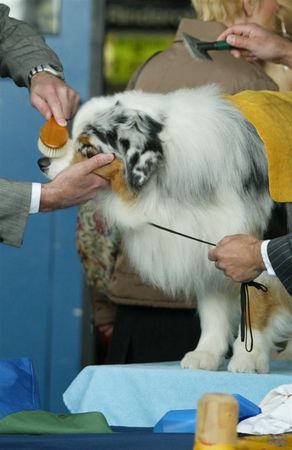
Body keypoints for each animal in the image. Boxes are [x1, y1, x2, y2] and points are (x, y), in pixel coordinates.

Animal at [38, 84, 292, 372]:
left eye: (88, 149)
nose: (42, 163)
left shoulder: (250, 249)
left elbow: (255, 305)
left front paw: (247, 358)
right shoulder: (208, 248)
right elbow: (213, 312)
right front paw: (205, 354)